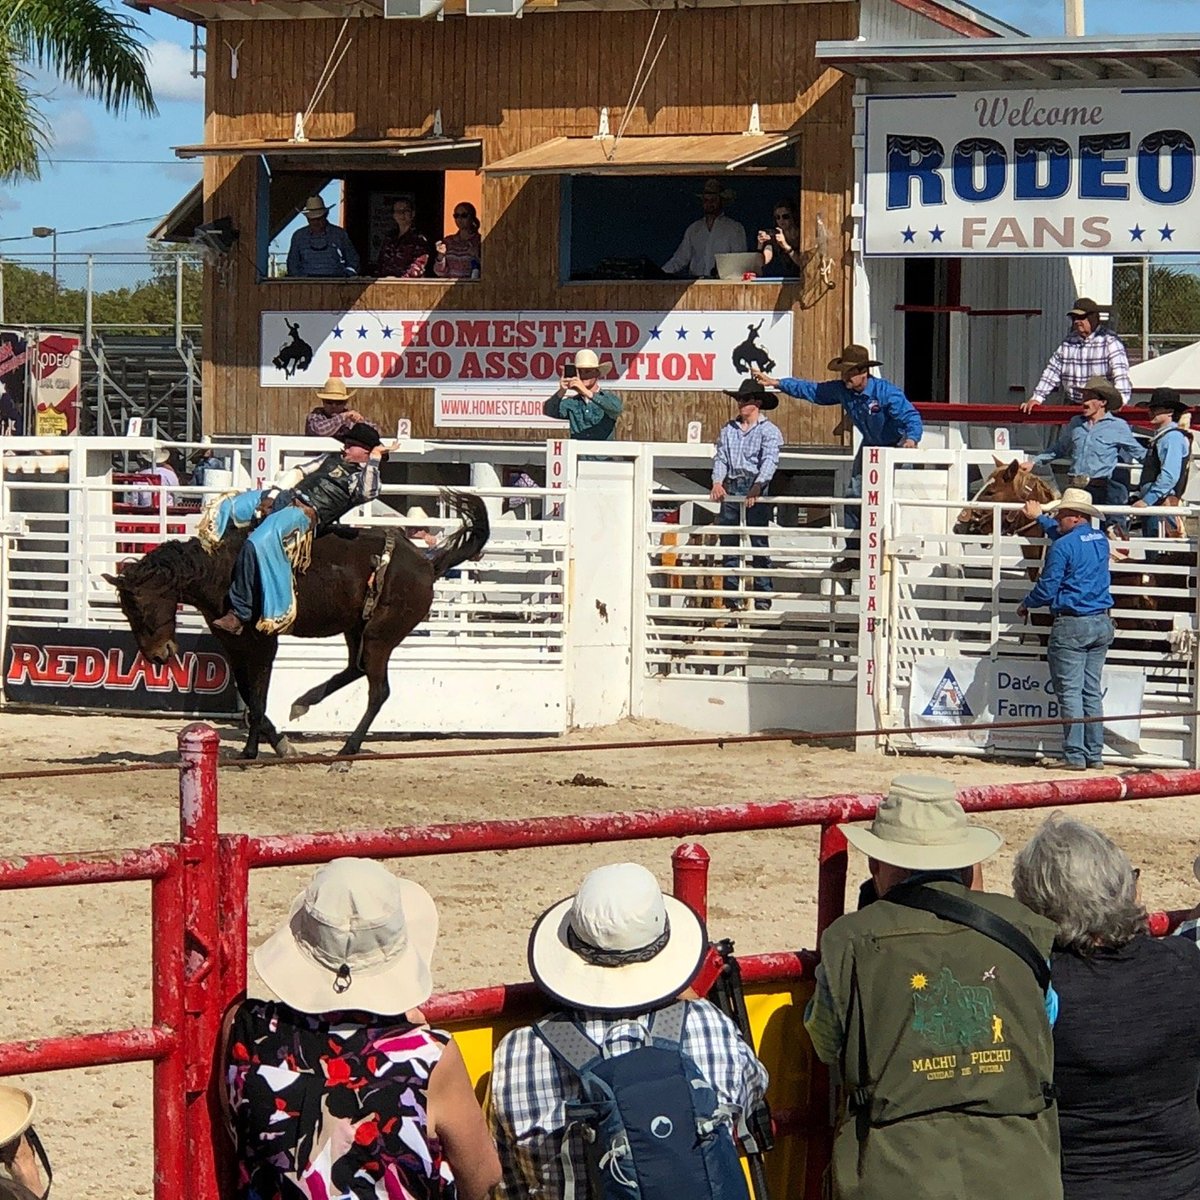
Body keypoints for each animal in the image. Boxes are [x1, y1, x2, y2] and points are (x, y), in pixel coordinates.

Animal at [103, 489, 487, 758]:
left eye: (141, 605)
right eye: (126, 611)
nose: (157, 656)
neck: (222, 570)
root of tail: (427, 565)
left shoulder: (262, 642)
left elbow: (258, 696)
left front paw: (257, 750)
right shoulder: (232, 643)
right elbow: (248, 693)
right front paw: (274, 745)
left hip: (381, 635)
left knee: (378, 690)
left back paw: (347, 750)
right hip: (357, 629)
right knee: (356, 668)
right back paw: (305, 700)